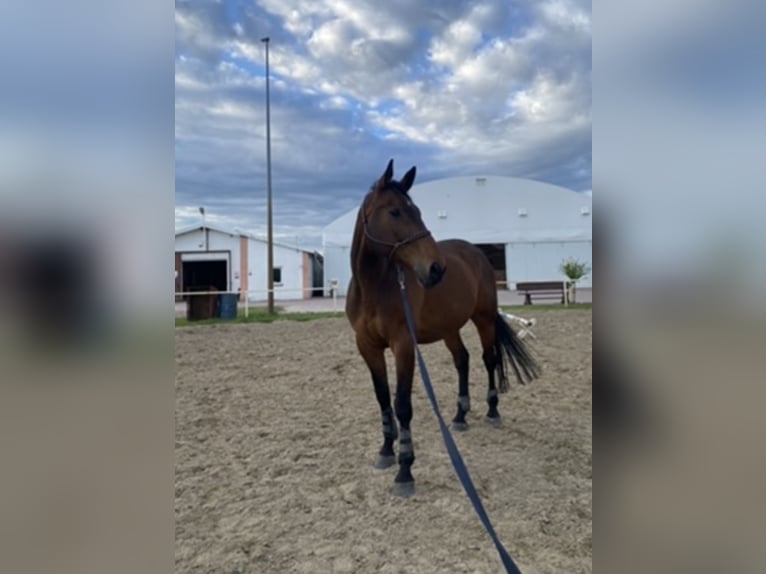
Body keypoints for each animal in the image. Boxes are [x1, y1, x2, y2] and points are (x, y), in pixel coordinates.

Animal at [348, 160, 540, 498]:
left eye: (418, 210)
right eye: (395, 212)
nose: (436, 268)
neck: (372, 289)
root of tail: (475, 253)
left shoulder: (403, 345)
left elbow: (402, 404)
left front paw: (405, 470)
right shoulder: (367, 346)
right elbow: (382, 398)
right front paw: (385, 451)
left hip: (484, 319)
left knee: (488, 359)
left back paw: (492, 412)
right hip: (449, 328)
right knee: (462, 360)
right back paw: (461, 415)